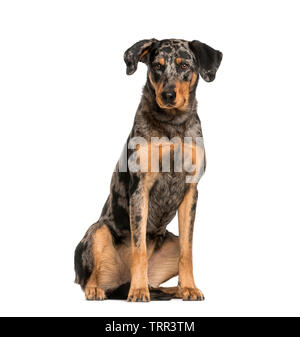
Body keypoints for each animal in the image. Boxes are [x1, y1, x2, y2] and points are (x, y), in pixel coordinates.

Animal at [74, 38, 221, 300]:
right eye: (157, 66)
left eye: (184, 65)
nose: (168, 94)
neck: (172, 124)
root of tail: (118, 284)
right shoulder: (140, 187)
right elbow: (139, 248)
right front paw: (138, 290)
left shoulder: (190, 191)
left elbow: (188, 250)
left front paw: (190, 287)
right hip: (98, 231)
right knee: (88, 277)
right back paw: (99, 289)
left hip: (170, 243)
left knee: (161, 276)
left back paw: (174, 289)